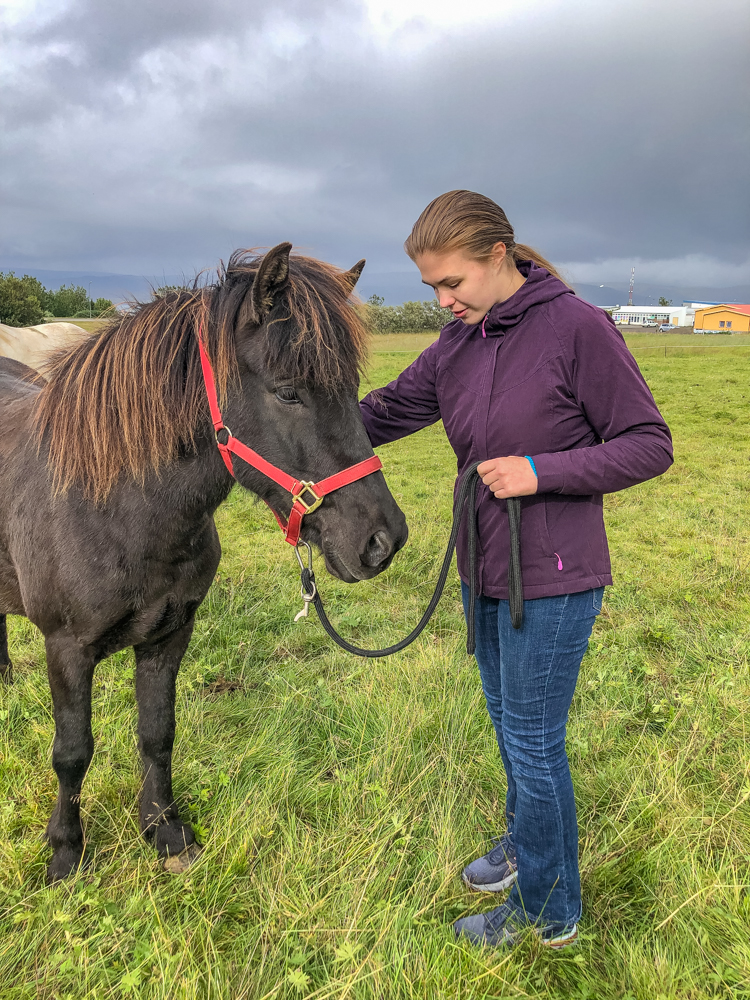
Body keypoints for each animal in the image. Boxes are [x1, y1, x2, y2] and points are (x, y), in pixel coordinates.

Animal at [0, 244, 408, 884]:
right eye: (288, 391)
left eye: (352, 387)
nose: (382, 542)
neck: (111, 507)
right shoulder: (66, 649)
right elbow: (71, 753)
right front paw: (65, 853)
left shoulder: (170, 634)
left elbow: (157, 733)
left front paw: (164, 831)